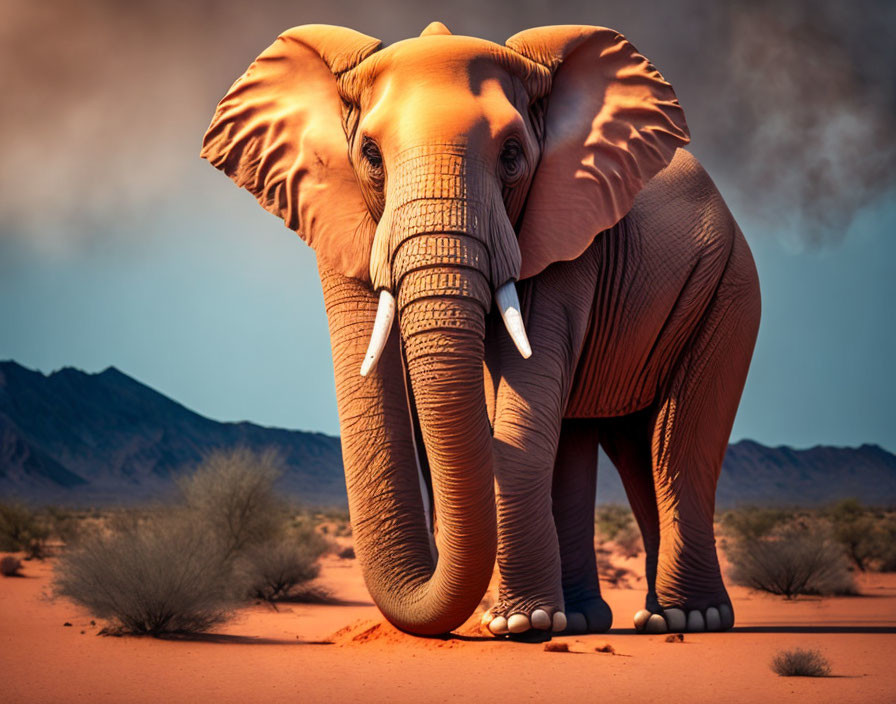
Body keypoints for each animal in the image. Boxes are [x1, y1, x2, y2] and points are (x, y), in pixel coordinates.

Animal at [203, 20, 764, 640]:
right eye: (370, 155)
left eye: (513, 155)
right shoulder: (337, 210)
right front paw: (532, 622)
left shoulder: (566, 230)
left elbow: (525, 403)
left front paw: (520, 624)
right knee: (609, 443)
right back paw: (591, 621)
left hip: (729, 287)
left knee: (673, 446)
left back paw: (687, 617)